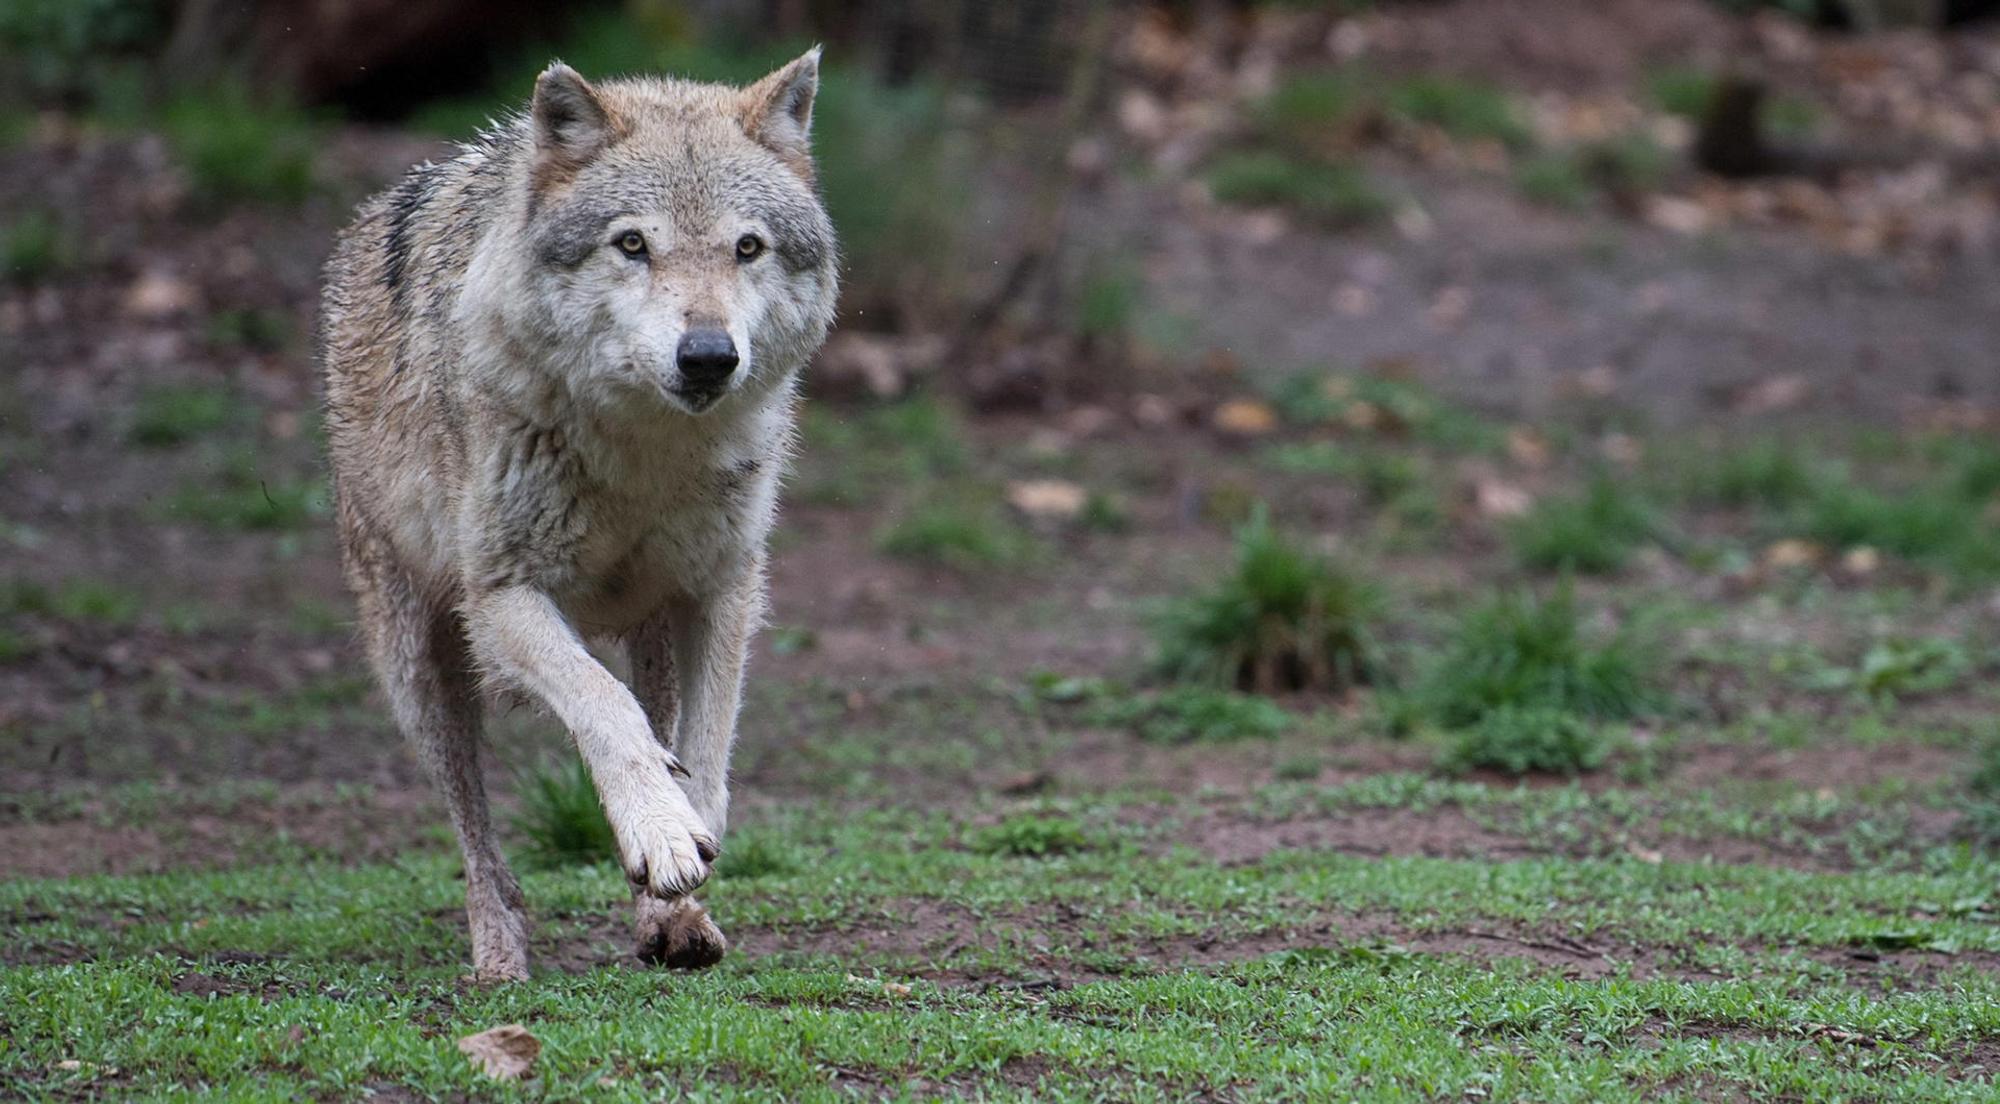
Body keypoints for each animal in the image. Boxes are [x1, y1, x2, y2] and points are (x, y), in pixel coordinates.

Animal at [319, 51, 837, 980]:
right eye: (633, 244)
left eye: (747, 248)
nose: (709, 356)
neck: (644, 453)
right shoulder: (501, 598)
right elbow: (604, 707)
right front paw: (659, 832)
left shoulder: (722, 591)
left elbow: (707, 750)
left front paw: (681, 855)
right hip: (419, 669)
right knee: (476, 835)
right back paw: (499, 956)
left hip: (652, 627)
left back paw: (672, 923)